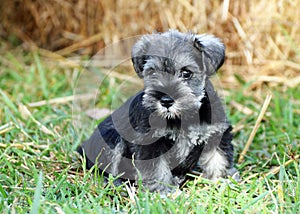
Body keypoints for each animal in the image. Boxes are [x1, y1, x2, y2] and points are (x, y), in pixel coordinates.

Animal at [78, 29, 239, 192]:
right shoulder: (151, 143)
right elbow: (157, 170)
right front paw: (163, 191)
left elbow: (219, 159)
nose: (166, 101)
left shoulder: (216, 133)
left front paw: (224, 181)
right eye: (152, 72)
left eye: (186, 73)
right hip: (112, 138)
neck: (182, 117)